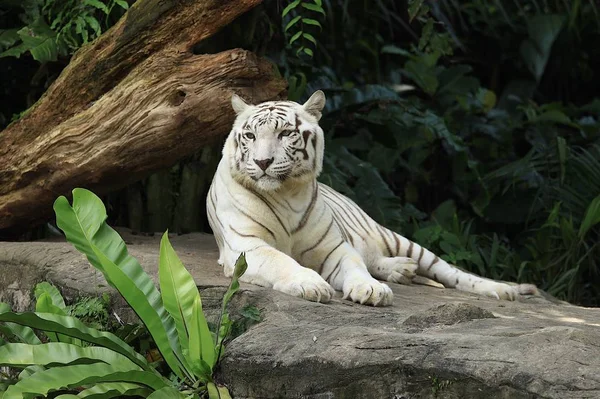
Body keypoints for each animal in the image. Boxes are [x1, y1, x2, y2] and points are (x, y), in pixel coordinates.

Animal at [206, 90, 536, 306]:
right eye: (250, 136)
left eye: (286, 133)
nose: (262, 162)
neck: (287, 193)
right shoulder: (247, 245)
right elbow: (281, 260)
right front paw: (310, 283)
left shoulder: (334, 247)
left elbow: (355, 266)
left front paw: (372, 290)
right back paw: (401, 270)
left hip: (401, 240)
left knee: (452, 273)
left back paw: (503, 290)